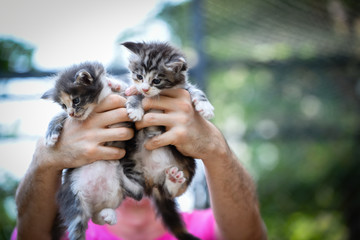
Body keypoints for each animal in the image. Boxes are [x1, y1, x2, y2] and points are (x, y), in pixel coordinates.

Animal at [41, 62, 143, 240]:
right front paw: (50, 134)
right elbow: (59, 116)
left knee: (136, 193)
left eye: (76, 100)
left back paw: (109, 214)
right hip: (73, 196)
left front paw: (135, 108)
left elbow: (135, 95)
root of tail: (93, 205)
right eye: (63, 105)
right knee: (79, 225)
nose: (71, 113)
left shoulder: (123, 95)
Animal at [119, 41, 214, 240]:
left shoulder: (183, 89)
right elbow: (133, 94)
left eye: (157, 80)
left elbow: (196, 90)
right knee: (135, 191)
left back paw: (173, 180)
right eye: (139, 76)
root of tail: (154, 183)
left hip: (188, 164)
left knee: (169, 192)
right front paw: (135, 108)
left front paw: (205, 106)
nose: (145, 88)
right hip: (131, 161)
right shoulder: (134, 89)